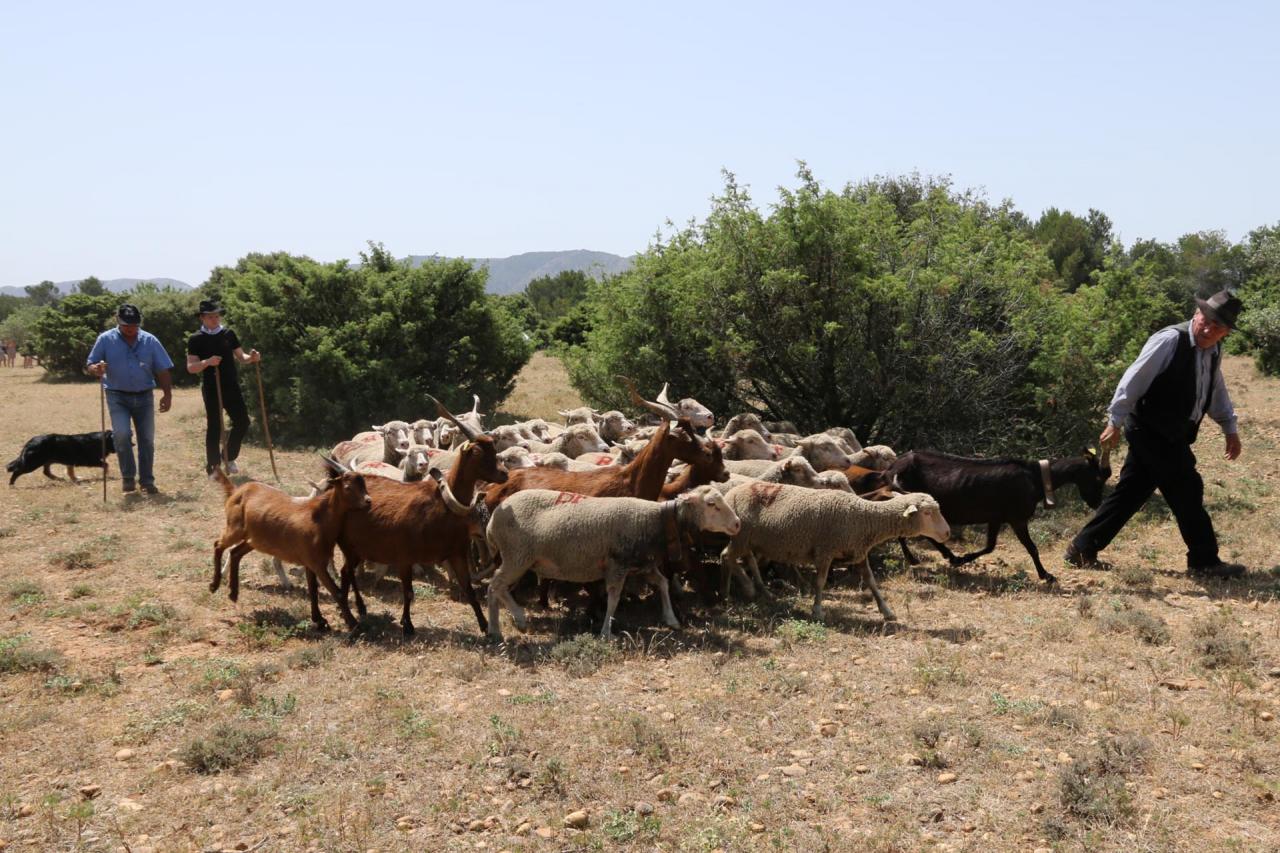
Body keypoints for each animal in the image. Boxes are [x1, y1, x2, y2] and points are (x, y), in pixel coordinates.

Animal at [212, 458, 373, 630]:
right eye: (348, 487)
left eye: (364, 484)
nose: (368, 501)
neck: (318, 519)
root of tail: (235, 491)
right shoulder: (317, 563)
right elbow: (337, 592)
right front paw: (353, 623)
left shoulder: (311, 562)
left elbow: (313, 590)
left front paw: (319, 620)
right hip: (235, 529)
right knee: (218, 545)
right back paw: (214, 585)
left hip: (253, 539)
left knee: (235, 553)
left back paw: (233, 593)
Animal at [332, 391, 506, 630]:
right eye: (478, 451)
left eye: (494, 448)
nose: (504, 473)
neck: (442, 503)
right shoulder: (404, 554)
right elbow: (408, 593)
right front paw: (407, 625)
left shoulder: (456, 552)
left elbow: (469, 590)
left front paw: (485, 627)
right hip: (352, 544)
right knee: (346, 572)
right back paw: (350, 613)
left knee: (347, 572)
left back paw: (355, 609)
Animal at [481, 484, 742, 637]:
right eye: (711, 504)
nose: (738, 523)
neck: (655, 521)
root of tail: (492, 520)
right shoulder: (618, 565)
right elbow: (614, 598)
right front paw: (606, 631)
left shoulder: (642, 564)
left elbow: (663, 584)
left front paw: (671, 619)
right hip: (517, 555)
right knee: (496, 585)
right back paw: (516, 619)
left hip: (516, 557)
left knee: (495, 588)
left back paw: (495, 630)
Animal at [721, 484, 952, 617]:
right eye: (928, 513)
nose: (948, 533)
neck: (863, 519)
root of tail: (732, 492)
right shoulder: (825, 550)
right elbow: (820, 582)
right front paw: (817, 611)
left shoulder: (859, 552)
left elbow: (871, 582)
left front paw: (886, 611)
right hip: (741, 535)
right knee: (726, 557)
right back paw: (741, 590)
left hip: (747, 539)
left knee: (746, 560)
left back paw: (752, 592)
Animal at [890, 448, 1111, 581]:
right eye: (1098, 478)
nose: (1096, 503)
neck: (1036, 478)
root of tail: (892, 467)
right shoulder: (1017, 518)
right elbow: (1032, 548)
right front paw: (1045, 575)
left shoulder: (996, 518)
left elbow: (990, 546)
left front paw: (964, 559)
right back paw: (918, 558)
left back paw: (948, 556)